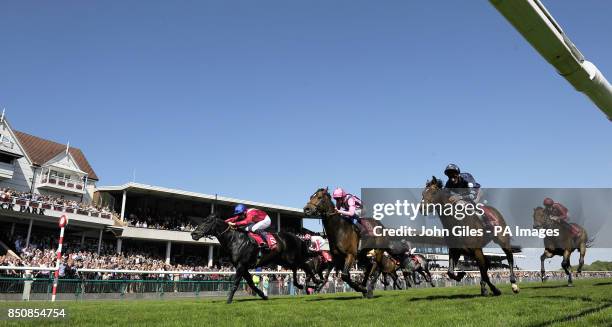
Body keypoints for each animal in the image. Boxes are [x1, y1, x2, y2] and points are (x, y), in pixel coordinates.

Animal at [191, 214, 320, 304]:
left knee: (304, 265)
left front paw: (228, 300)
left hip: (290, 258)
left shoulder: (241, 265)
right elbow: (251, 283)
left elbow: (236, 282)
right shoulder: (243, 267)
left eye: (207, 222)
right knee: (296, 267)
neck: (234, 240)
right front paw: (263, 295)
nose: (193, 234)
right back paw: (301, 284)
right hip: (283, 260)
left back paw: (316, 282)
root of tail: (297, 237)